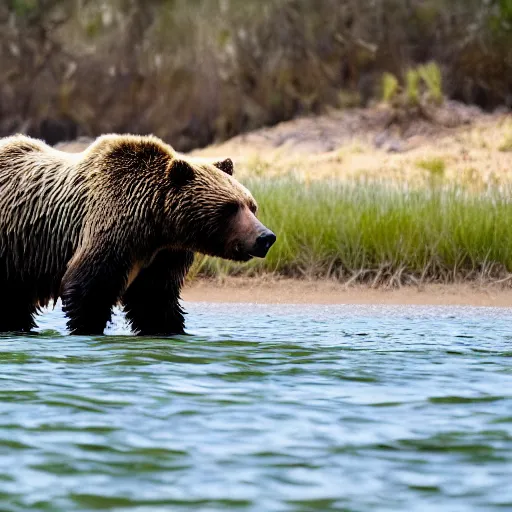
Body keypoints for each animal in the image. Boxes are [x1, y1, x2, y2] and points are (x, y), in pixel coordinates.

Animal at [0, 134, 276, 334]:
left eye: (251, 206)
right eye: (229, 208)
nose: (265, 237)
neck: (156, 226)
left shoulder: (164, 256)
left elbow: (155, 301)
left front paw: (167, 328)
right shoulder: (109, 227)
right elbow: (88, 288)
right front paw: (87, 327)